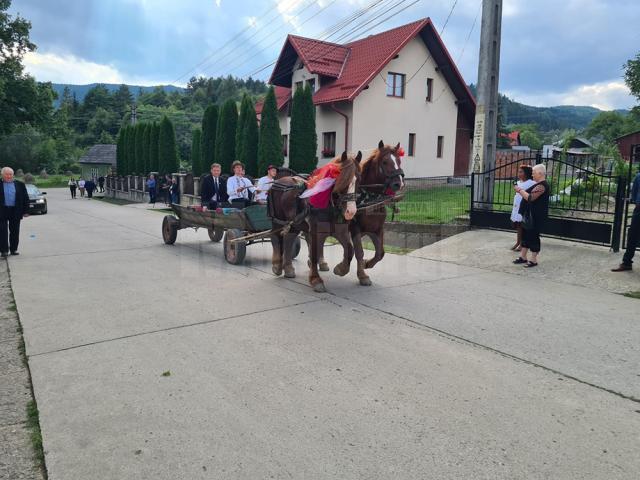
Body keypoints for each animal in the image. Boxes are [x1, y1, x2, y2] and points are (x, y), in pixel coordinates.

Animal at [268, 151, 362, 292]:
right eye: (342, 179)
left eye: (358, 180)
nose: (351, 211)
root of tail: (278, 181)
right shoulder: (315, 232)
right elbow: (314, 253)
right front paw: (315, 279)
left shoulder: (341, 231)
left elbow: (350, 250)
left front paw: (341, 269)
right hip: (277, 221)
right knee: (275, 238)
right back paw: (277, 265)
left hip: (296, 223)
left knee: (289, 239)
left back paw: (288, 268)